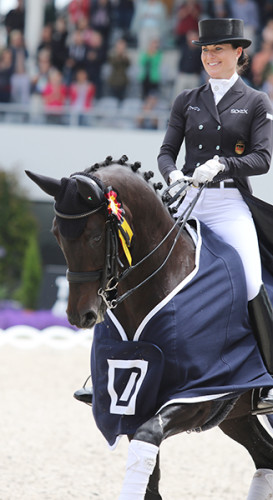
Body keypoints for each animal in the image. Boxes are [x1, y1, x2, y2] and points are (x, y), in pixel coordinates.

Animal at [26, 157, 273, 500]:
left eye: (95, 237)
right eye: (56, 234)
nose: (80, 315)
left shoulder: (200, 393)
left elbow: (150, 437)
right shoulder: (132, 402)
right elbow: (149, 480)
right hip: (237, 417)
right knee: (265, 458)